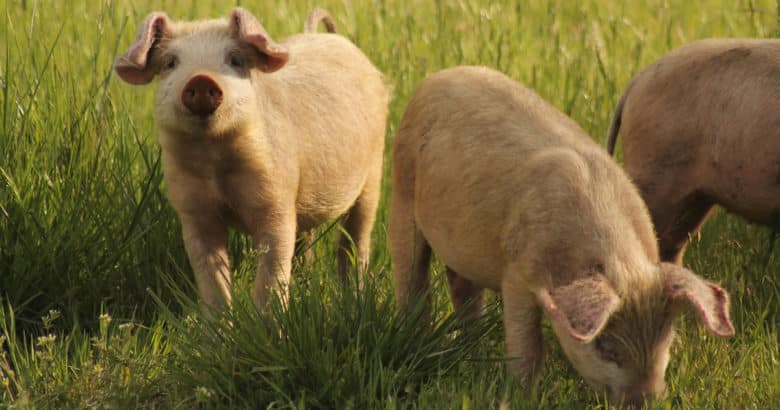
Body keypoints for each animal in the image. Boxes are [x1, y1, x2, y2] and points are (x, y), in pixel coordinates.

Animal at [114, 8, 388, 309]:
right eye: (170, 63)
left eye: (235, 59)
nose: (201, 79)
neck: (215, 163)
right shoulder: (193, 210)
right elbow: (212, 278)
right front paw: (219, 322)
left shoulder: (277, 200)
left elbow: (272, 272)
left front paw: (266, 321)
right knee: (308, 238)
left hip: (374, 170)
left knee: (355, 238)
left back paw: (354, 296)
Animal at [390, 66, 734, 407]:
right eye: (606, 348)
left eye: (666, 338)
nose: (646, 400)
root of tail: (437, 77)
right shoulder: (517, 273)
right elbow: (527, 345)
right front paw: (520, 396)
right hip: (402, 190)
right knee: (412, 274)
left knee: (462, 286)